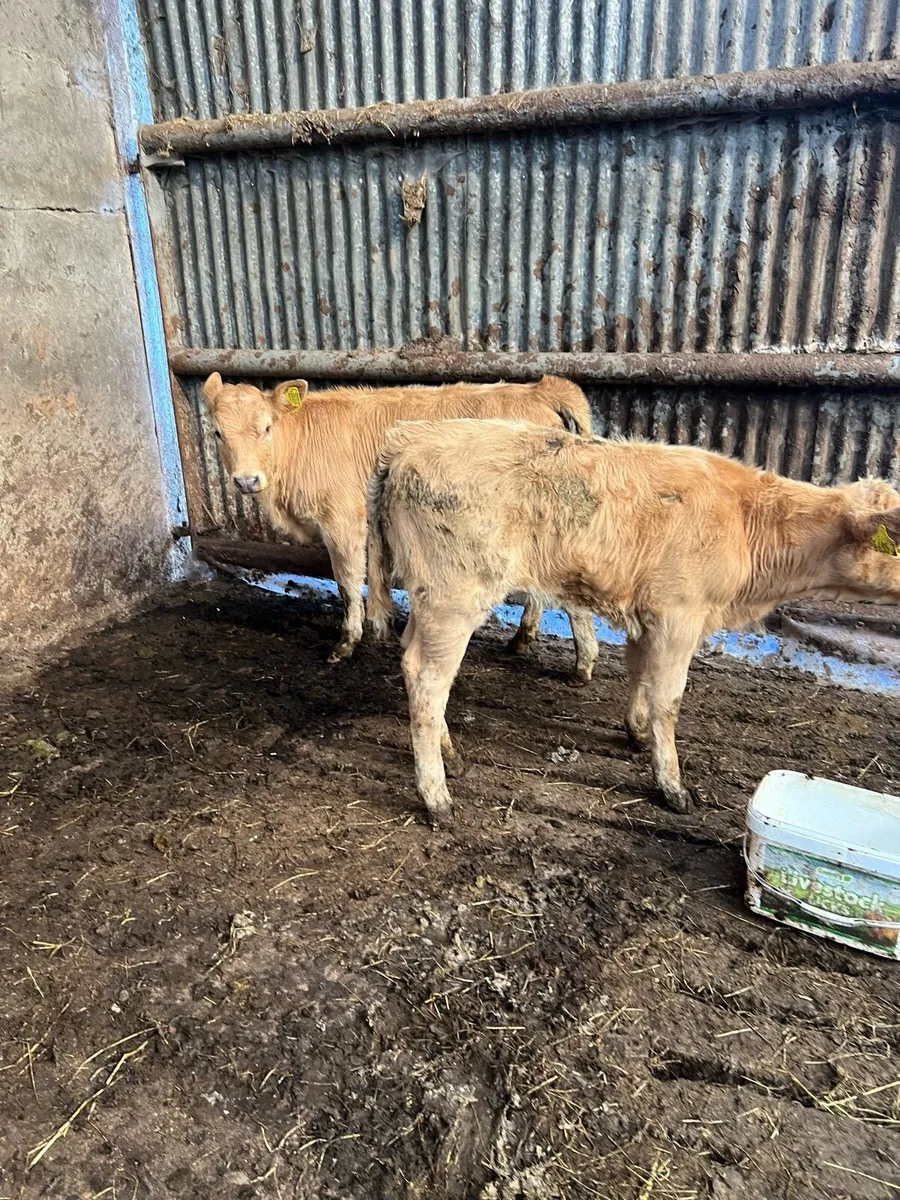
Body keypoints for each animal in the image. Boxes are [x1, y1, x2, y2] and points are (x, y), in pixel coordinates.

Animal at [202, 373, 597, 669]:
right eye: (218, 433)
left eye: (267, 427)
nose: (246, 480)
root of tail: (537, 388)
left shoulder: (343, 522)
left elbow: (348, 583)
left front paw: (347, 642)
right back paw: (522, 640)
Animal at [366, 420, 900, 826]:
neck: (747, 521)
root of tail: (407, 440)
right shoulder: (679, 615)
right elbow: (670, 700)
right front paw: (672, 786)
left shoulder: (648, 615)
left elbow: (640, 676)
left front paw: (637, 734)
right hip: (455, 596)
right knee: (428, 681)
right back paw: (437, 797)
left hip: (429, 598)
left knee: (414, 662)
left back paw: (451, 757)